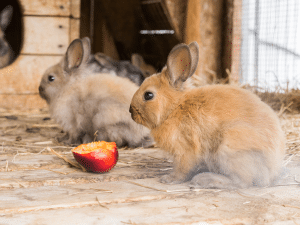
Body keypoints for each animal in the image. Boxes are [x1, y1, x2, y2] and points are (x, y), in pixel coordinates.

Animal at [129, 41, 286, 188]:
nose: (131, 111)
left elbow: (182, 170)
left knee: (241, 181)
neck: (174, 108)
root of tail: (271, 171)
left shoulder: (185, 151)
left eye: (148, 95)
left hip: (228, 147)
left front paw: (169, 179)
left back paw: (205, 179)